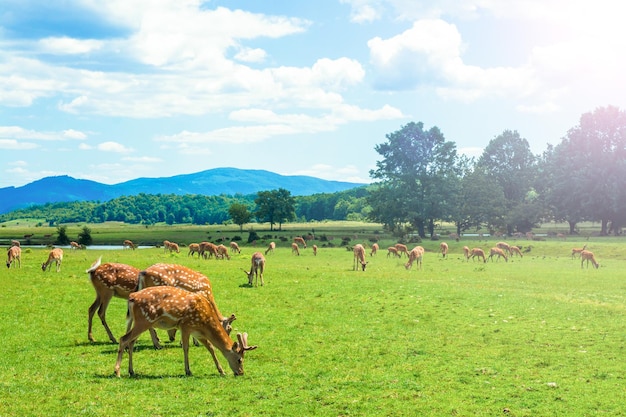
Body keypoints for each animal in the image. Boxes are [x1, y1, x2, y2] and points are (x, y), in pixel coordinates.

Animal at [114, 286, 256, 376]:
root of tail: (131, 297)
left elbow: (211, 348)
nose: (241, 373)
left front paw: (221, 371)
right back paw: (117, 372)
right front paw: (188, 371)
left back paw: (131, 371)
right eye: (240, 359)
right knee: (123, 339)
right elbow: (186, 348)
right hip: (144, 320)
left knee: (131, 342)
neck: (205, 322)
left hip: (140, 322)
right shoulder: (186, 326)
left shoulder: (198, 333)